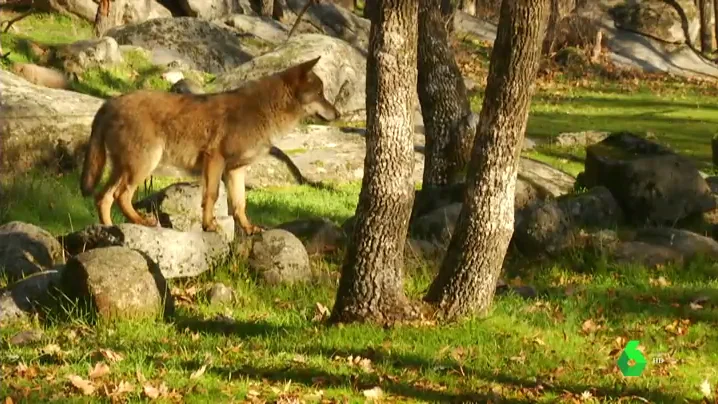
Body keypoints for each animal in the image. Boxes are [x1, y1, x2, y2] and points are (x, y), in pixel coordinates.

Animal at [80, 55, 338, 235]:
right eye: (320, 93)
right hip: (142, 167)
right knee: (121, 196)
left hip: (123, 169)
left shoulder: (236, 170)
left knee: (103, 198)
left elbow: (240, 204)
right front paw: (209, 226)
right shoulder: (215, 160)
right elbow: (212, 197)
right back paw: (142, 221)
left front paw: (249, 229)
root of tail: (109, 103)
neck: (263, 110)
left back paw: (109, 229)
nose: (338, 114)